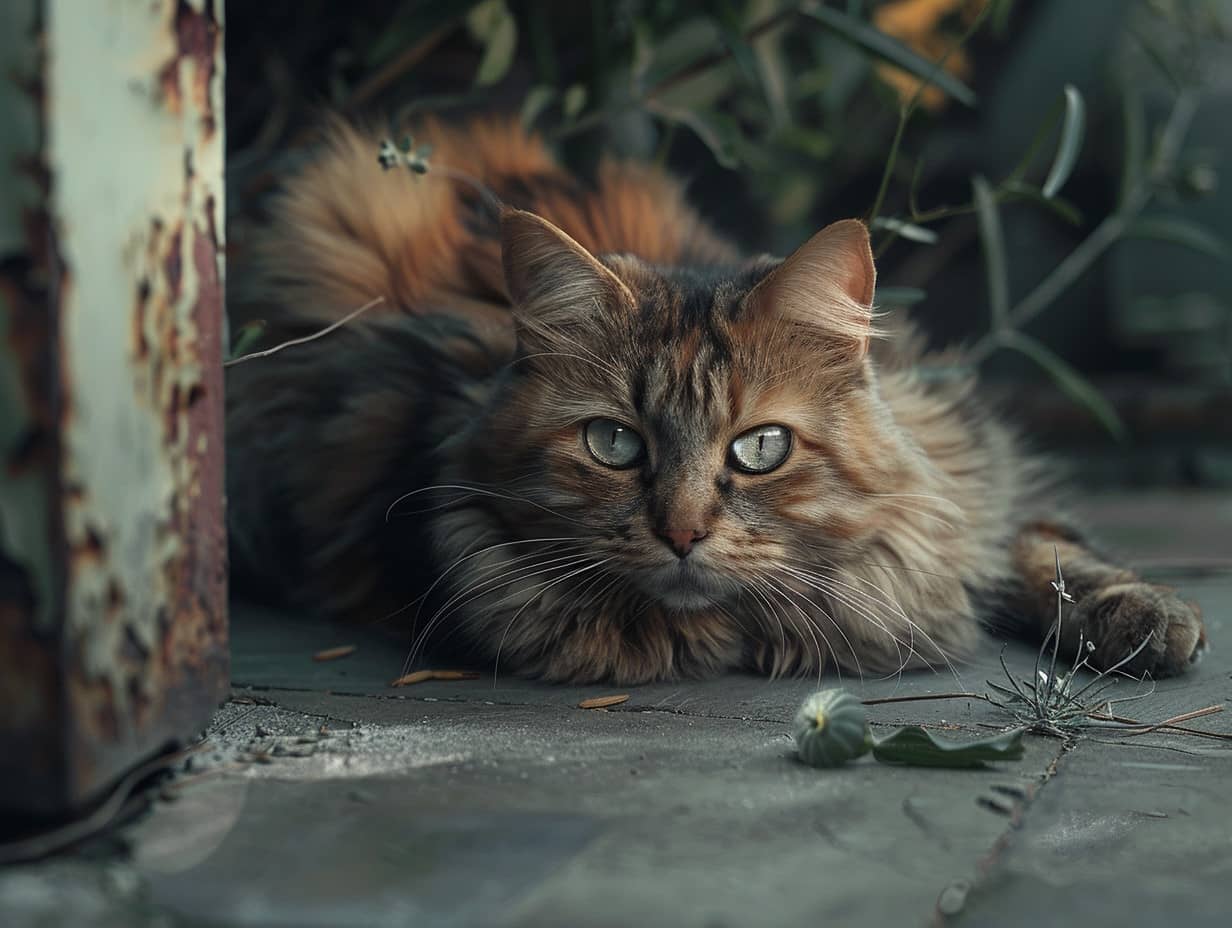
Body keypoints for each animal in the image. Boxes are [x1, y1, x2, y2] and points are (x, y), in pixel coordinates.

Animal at [226, 113, 1207, 680]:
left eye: (760, 448)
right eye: (614, 445)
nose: (683, 533)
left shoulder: (972, 478)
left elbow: (1048, 547)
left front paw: (1147, 619)